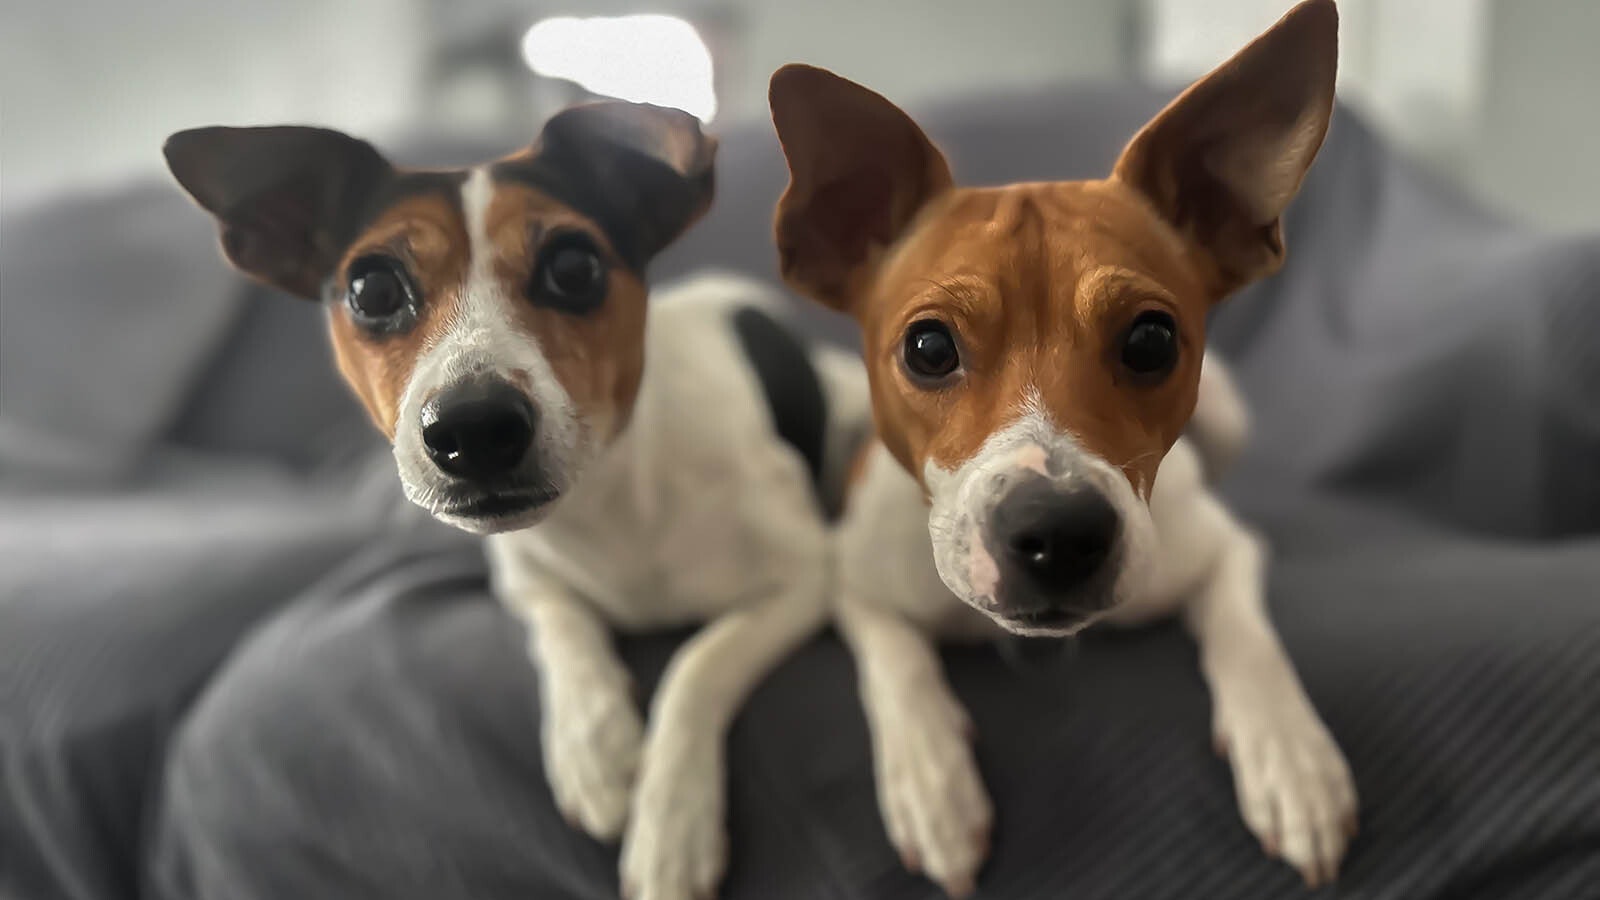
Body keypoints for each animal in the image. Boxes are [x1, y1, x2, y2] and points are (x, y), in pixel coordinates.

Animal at [165, 99, 864, 896]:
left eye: (575, 266)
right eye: (372, 290)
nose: (474, 429)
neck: (609, 500)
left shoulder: (804, 580)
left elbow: (697, 667)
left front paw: (671, 824)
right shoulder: (524, 578)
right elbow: (563, 628)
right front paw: (594, 745)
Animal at [768, 0, 1356, 890]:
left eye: (1150, 340)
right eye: (928, 348)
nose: (1058, 533)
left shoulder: (1224, 548)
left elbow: (1248, 636)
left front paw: (1291, 757)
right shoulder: (856, 582)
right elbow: (896, 662)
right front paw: (933, 780)